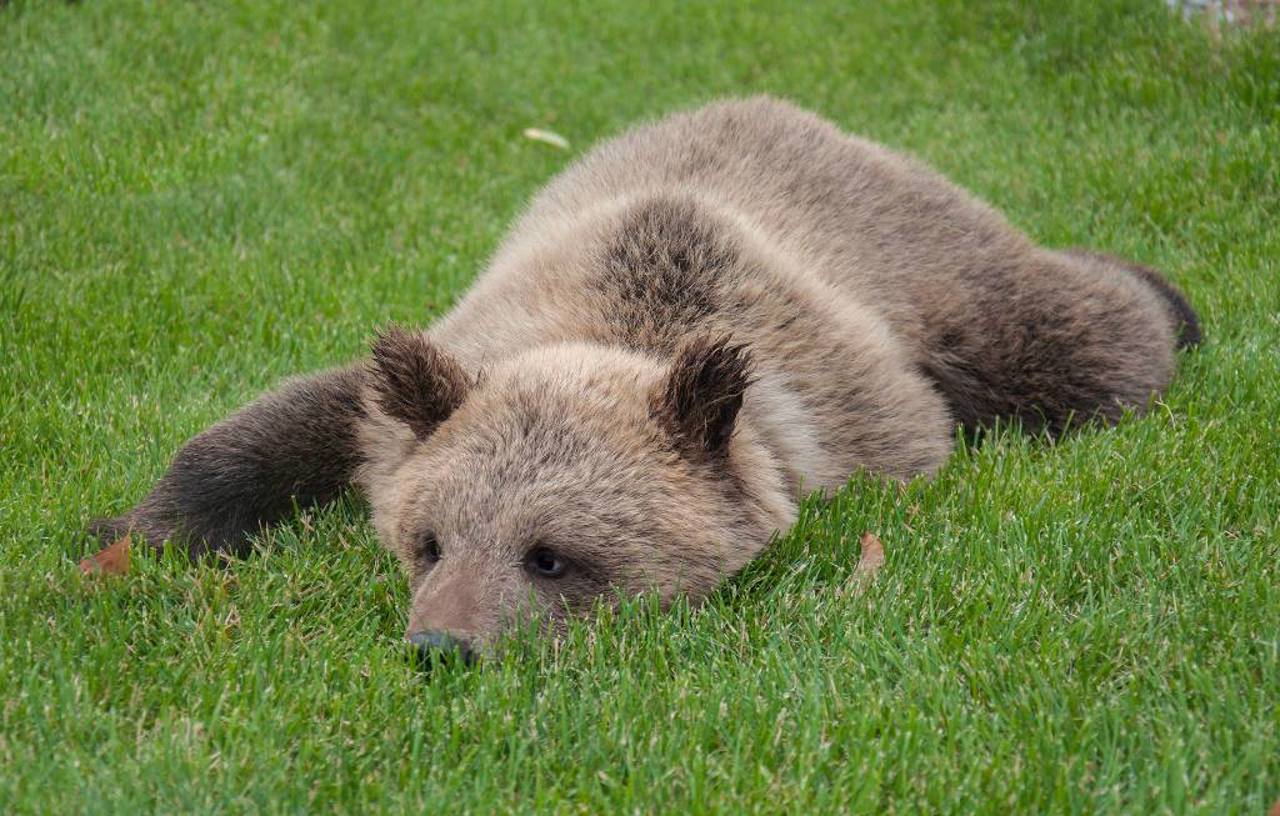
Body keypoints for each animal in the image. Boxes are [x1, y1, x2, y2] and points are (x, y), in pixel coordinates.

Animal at [90, 95, 1198, 665]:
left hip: (937, 284)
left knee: (1083, 343)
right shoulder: (441, 369)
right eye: (427, 539)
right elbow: (282, 423)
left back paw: (1164, 294)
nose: (442, 646)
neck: (621, 330)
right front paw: (130, 538)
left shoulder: (844, 417)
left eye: (551, 556)